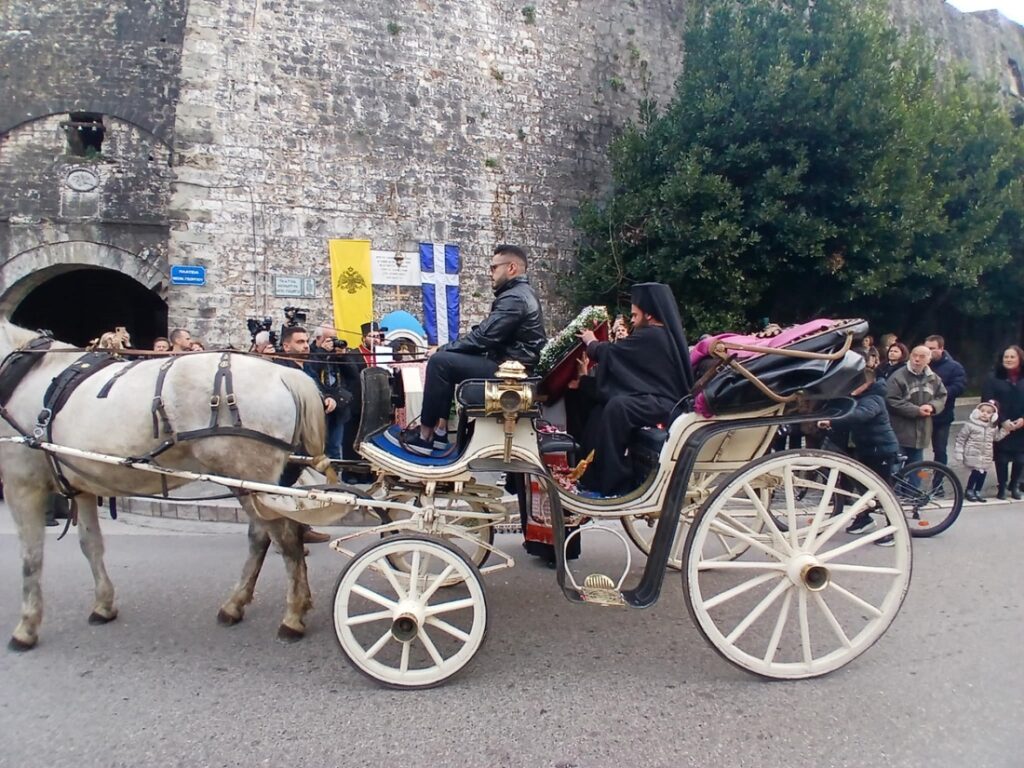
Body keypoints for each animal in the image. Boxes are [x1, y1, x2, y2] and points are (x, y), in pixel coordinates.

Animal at [0, 321, 329, 651]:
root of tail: (284, 374)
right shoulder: (81, 486)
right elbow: (90, 544)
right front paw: (103, 605)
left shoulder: (21, 484)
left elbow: (31, 557)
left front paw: (26, 627)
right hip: (249, 481)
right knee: (264, 536)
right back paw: (235, 605)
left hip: (250, 475)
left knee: (286, 539)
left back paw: (292, 616)